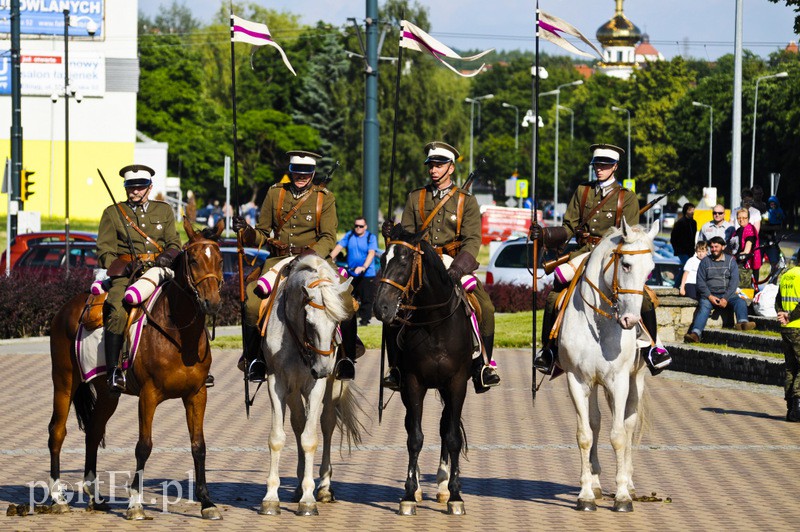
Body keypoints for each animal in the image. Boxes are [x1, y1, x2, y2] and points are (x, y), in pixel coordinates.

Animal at [47, 217, 225, 520]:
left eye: (220, 259)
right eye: (193, 259)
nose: (211, 302)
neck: (179, 334)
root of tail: (65, 309)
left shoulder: (197, 394)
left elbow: (198, 446)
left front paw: (206, 501)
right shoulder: (148, 395)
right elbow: (144, 446)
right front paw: (135, 503)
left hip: (108, 393)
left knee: (93, 431)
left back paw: (95, 496)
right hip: (64, 381)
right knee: (57, 432)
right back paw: (58, 496)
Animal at [256, 256, 362, 516]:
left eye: (337, 323)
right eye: (310, 323)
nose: (321, 369)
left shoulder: (317, 385)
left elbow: (310, 438)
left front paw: (308, 498)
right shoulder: (277, 382)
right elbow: (278, 437)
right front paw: (271, 497)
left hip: (334, 385)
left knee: (326, 424)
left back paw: (323, 487)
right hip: (295, 390)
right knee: (298, 423)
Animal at [556, 219, 656, 512]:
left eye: (651, 270)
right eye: (626, 265)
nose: (631, 320)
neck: (599, 322)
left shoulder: (619, 381)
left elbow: (619, 435)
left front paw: (622, 495)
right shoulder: (577, 381)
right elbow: (585, 434)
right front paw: (586, 494)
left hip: (636, 380)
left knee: (629, 423)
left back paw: (630, 485)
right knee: (596, 422)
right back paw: (597, 482)